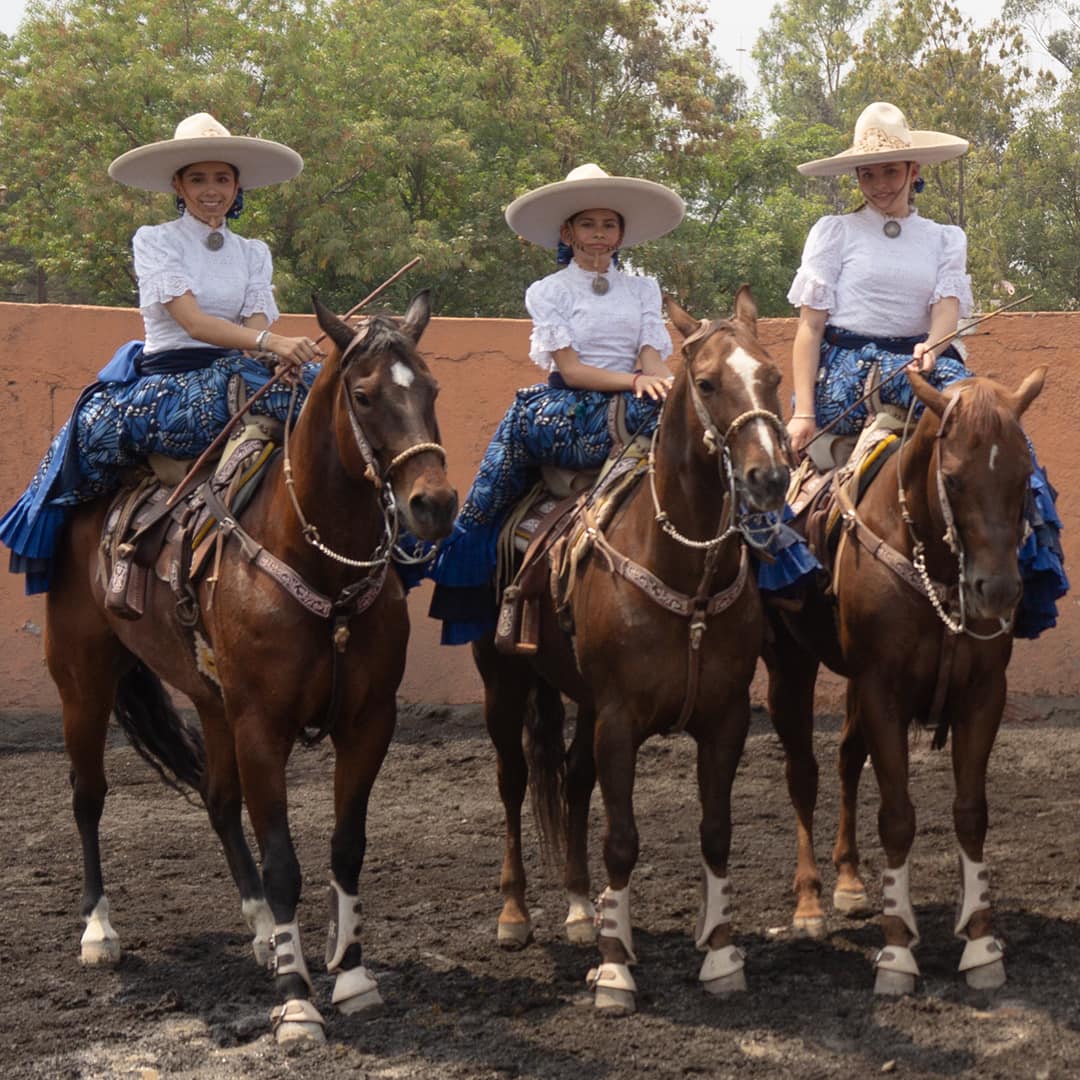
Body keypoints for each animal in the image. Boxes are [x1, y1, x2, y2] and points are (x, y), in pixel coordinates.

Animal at [45, 291, 455, 1041]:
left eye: (432, 389)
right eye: (363, 394)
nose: (433, 505)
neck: (317, 568)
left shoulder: (368, 721)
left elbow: (346, 846)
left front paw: (351, 975)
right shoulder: (264, 726)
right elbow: (284, 859)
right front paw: (297, 1002)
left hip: (213, 701)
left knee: (216, 800)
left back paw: (264, 933)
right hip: (83, 682)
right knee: (88, 796)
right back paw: (98, 931)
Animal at [477, 287, 790, 1010]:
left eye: (772, 376)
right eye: (708, 382)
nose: (768, 476)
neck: (684, 570)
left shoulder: (725, 718)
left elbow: (716, 831)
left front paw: (720, 955)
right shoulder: (620, 721)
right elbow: (621, 839)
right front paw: (617, 970)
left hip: (582, 699)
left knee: (570, 777)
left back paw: (579, 909)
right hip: (503, 684)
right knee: (513, 782)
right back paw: (515, 916)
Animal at [760, 369, 1045, 993]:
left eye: (1024, 478)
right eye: (954, 479)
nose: (998, 590)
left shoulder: (984, 694)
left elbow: (971, 811)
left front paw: (981, 943)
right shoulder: (882, 693)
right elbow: (896, 817)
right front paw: (896, 951)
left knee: (846, 758)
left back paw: (848, 882)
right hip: (789, 665)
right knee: (803, 773)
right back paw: (810, 904)